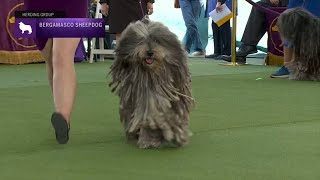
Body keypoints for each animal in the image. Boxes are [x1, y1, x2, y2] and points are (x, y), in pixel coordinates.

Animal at [107, 17, 194, 149]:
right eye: (141, 41)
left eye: (156, 40)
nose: (149, 52)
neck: (152, 72)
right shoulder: (147, 97)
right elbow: (152, 116)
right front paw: (150, 139)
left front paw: (177, 135)